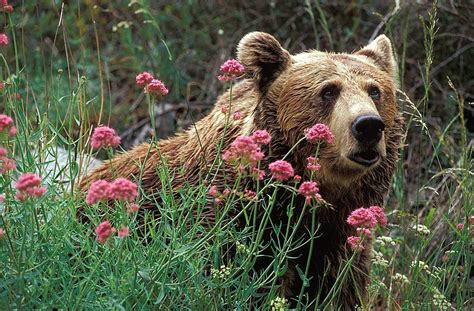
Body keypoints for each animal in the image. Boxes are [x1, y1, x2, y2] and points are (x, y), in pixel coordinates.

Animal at [79, 32, 402, 310]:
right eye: (329, 91)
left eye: (375, 90)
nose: (368, 125)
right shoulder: (235, 224)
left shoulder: (342, 236)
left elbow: (340, 288)